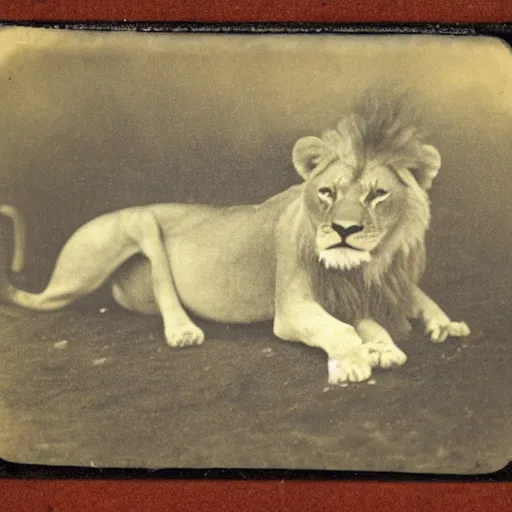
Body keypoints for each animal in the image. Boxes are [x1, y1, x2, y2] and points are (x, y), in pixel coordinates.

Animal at [2, 95, 470, 384]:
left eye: (377, 195)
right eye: (327, 193)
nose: (344, 230)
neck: (367, 267)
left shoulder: (364, 294)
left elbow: (382, 316)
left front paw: (391, 343)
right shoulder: (294, 308)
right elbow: (339, 330)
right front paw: (355, 361)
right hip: (125, 232)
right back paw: (184, 331)